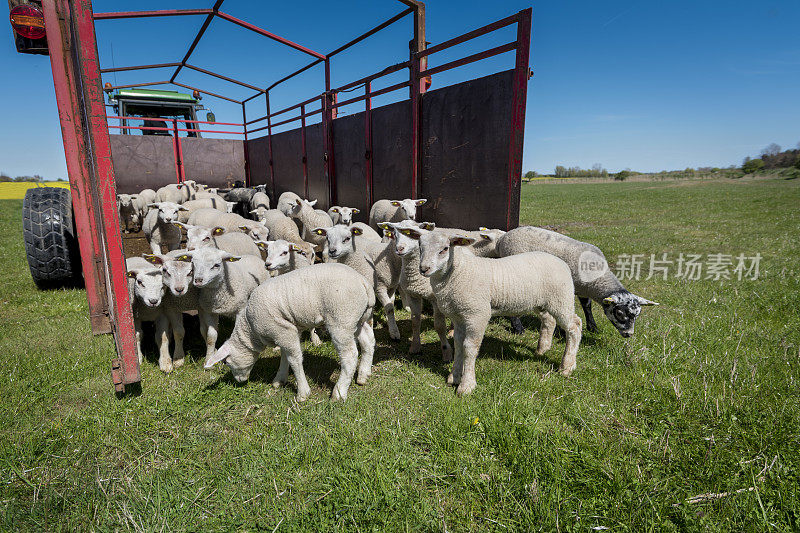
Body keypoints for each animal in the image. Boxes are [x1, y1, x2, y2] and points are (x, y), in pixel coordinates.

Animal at [205, 262, 376, 400]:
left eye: (226, 362)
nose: (239, 381)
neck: (251, 331)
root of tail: (364, 283)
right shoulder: (286, 331)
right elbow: (285, 355)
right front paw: (279, 379)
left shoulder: (282, 330)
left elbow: (294, 360)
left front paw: (303, 393)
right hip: (357, 319)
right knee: (368, 340)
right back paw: (364, 375)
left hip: (341, 319)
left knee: (350, 355)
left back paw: (339, 393)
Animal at [406, 227, 580, 396]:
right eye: (420, 246)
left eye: (445, 249)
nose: (424, 269)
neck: (458, 273)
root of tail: (561, 262)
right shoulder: (459, 316)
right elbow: (458, 344)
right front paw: (454, 376)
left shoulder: (477, 315)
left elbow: (469, 347)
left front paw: (466, 385)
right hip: (544, 302)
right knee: (549, 320)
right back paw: (542, 349)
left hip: (561, 299)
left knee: (574, 326)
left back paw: (567, 366)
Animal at [494, 225, 656, 334]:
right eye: (620, 314)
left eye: (637, 315)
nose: (629, 334)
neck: (599, 277)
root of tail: (503, 237)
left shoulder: (584, 288)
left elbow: (587, 306)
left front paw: (593, 327)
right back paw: (518, 328)